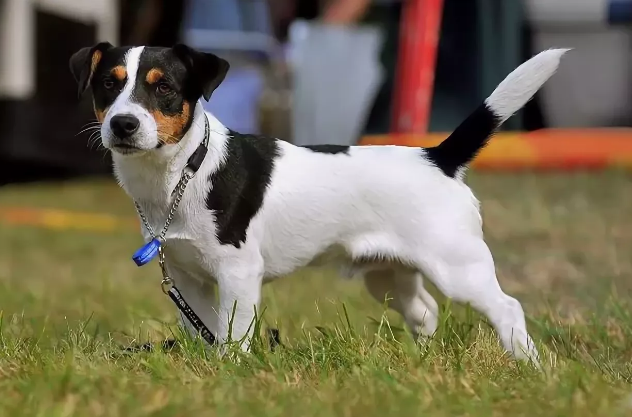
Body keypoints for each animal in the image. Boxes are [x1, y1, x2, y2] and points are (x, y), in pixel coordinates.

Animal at [69, 43, 568, 360]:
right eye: (108, 85)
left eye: (165, 88)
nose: (123, 124)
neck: (182, 173)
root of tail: (437, 157)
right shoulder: (188, 279)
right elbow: (205, 331)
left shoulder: (238, 274)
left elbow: (233, 335)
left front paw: (231, 374)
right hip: (389, 275)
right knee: (425, 313)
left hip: (458, 268)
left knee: (507, 308)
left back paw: (529, 366)